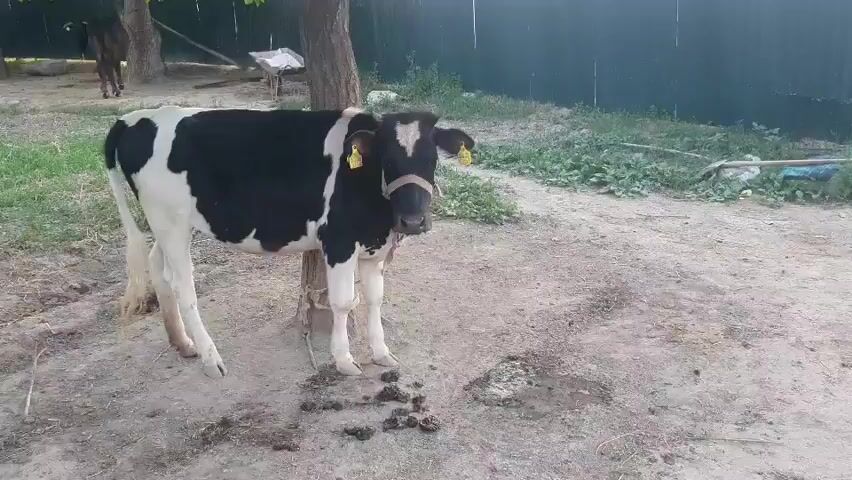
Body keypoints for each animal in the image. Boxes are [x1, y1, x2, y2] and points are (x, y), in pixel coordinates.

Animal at [104, 106, 474, 377]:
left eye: (432, 160)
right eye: (388, 159)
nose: (413, 221)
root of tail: (134, 117)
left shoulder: (373, 247)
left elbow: (375, 299)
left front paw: (382, 353)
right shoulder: (338, 240)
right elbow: (344, 302)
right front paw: (344, 360)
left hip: (172, 224)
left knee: (158, 268)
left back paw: (183, 343)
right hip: (170, 220)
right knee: (183, 286)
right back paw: (211, 358)